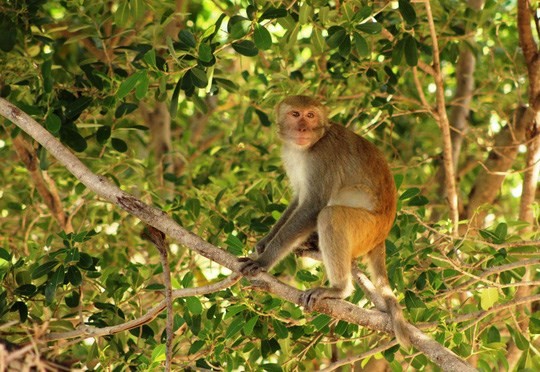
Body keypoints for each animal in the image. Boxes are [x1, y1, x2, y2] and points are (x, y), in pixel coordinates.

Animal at [238, 95, 412, 346]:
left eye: (310, 115)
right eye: (295, 114)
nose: (303, 128)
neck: (309, 145)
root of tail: (382, 236)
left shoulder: (323, 156)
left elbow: (313, 205)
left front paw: (264, 261)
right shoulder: (290, 155)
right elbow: (299, 198)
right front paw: (265, 241)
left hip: (367, 229)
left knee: (331, 215)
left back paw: (339, 289)